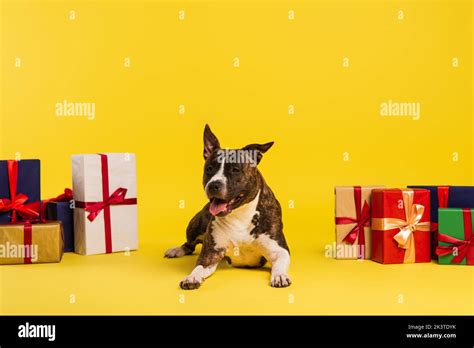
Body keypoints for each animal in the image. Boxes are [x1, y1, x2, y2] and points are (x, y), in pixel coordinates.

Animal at [167, 124, 292, 288]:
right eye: (209, 169)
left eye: (235, 170)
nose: (213, 185)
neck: (240, 215)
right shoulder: (210, 253)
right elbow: (199, 267)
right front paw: (191, 277)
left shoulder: (278, 249)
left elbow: (280, 262)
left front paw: (279, 276)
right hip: (194, 225)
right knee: (189, 244)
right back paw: (177, 250)